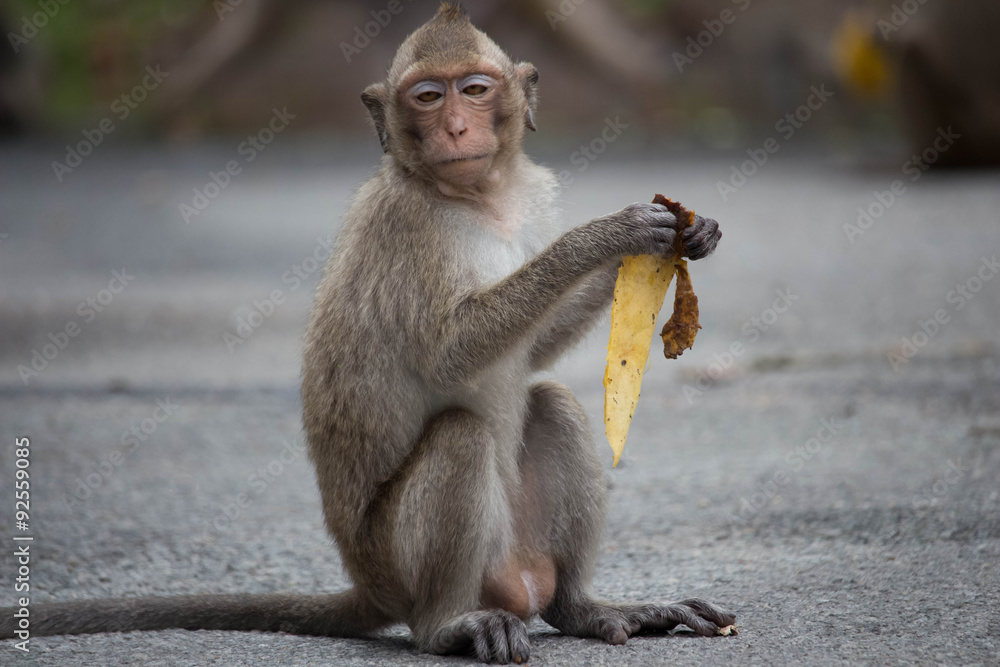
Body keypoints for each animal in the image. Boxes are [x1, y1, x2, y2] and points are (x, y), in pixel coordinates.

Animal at [3, 5, 732, 664]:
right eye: (428, 97)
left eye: (474, 89)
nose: (456, 126)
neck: (476, 199)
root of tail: (368, 584)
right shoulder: (406, 226)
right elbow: (450, 352)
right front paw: (606, 235)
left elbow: (537, 349)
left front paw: (684, 234)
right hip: (397, 560)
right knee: (462, 438)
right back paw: (447, 626)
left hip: (514, 552)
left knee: (551, 403)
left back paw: (581, 607)